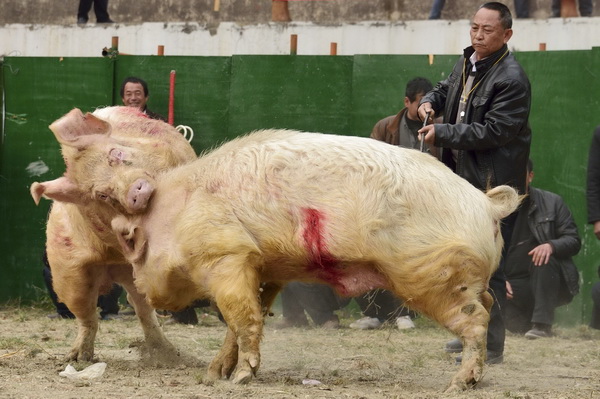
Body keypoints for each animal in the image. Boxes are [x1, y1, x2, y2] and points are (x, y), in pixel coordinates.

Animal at [30, 106, 196, 366]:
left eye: (116, 153)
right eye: (102, 194)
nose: (136, 191)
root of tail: (114, 268)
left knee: (141, 307)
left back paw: (170, 356)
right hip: (68, 273)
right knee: (88, 314)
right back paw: (77, 359)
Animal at [56, 129, 520, 394]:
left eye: (128, 238)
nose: (143, 289)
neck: (180, 213)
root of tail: (487, 204)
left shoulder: (227, 255)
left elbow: (242, 319)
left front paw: (240, 379)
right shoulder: (266, 269)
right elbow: (246, 319)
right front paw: (212, 375)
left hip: (433, 275)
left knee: (475, 319)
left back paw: (459, 384)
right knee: (489, 305)